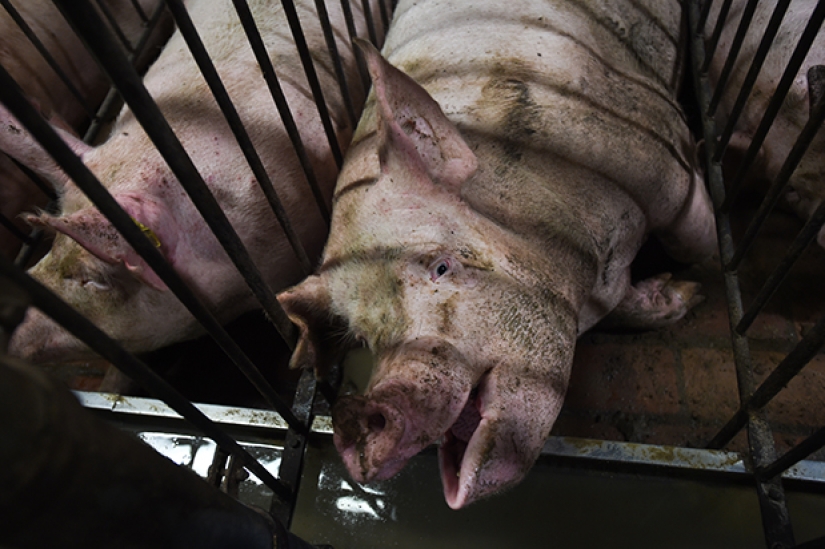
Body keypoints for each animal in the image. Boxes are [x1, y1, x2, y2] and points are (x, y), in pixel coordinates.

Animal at [278, 0, 717, 509]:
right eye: (364, 338)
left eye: (441, 265)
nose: (355, 413)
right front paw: (677, 294)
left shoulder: (659, 149)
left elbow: (696, 239)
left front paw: (695, 289)